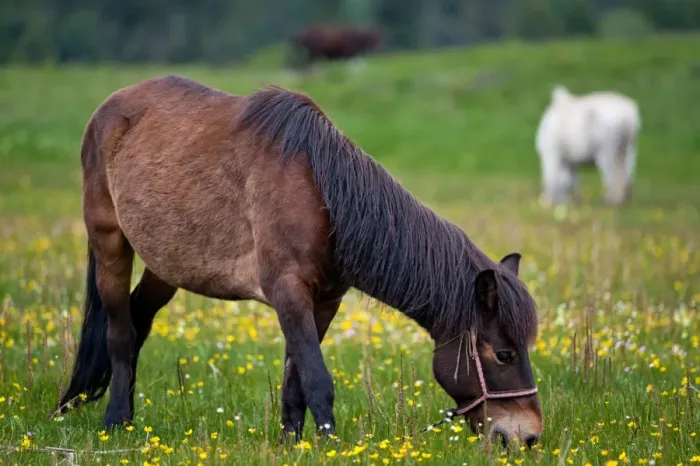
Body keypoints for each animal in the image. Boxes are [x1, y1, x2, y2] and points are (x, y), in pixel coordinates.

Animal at [56, 75, 542, 448]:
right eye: (503, 353)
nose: (528, 436)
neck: (322, 196)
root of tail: (110, 108)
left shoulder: (323, 301)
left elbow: (295, 380)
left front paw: (292, 442)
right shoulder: (288, 292)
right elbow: (317, 378)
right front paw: (329, 445)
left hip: (167, 266)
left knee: (138, 319)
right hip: (110, 245)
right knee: (120, 332)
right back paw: (116, 420)